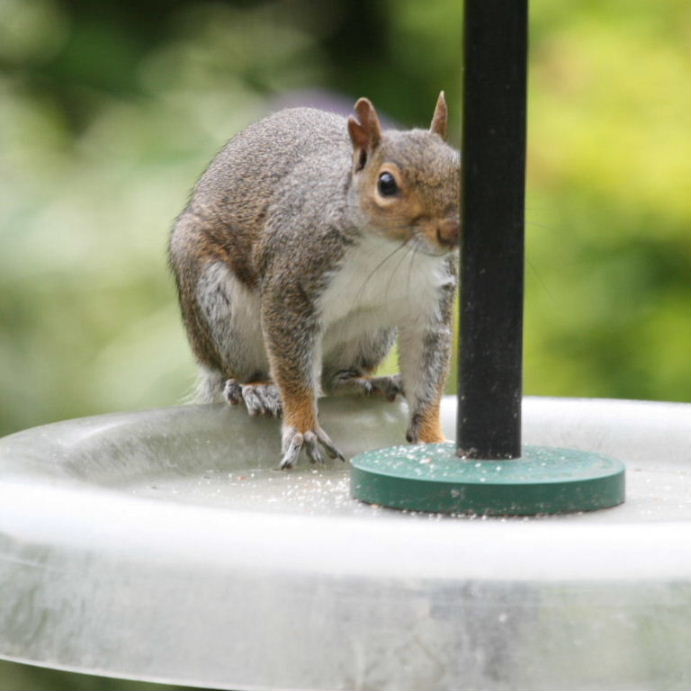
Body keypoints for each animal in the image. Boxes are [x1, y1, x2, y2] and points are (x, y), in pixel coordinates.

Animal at [169, 92, 460, 468]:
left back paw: (363, 381)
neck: (389, 250)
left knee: (332, 380)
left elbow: (428, 374)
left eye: (462, 171)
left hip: (371, 333)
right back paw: (255, 388)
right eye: (386, 184)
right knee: (237, 375)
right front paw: (304, 428)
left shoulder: (431, 303)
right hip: (217, 303)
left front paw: (431, 438)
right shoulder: (291, 285)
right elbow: (293, 374)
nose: (452, 231)